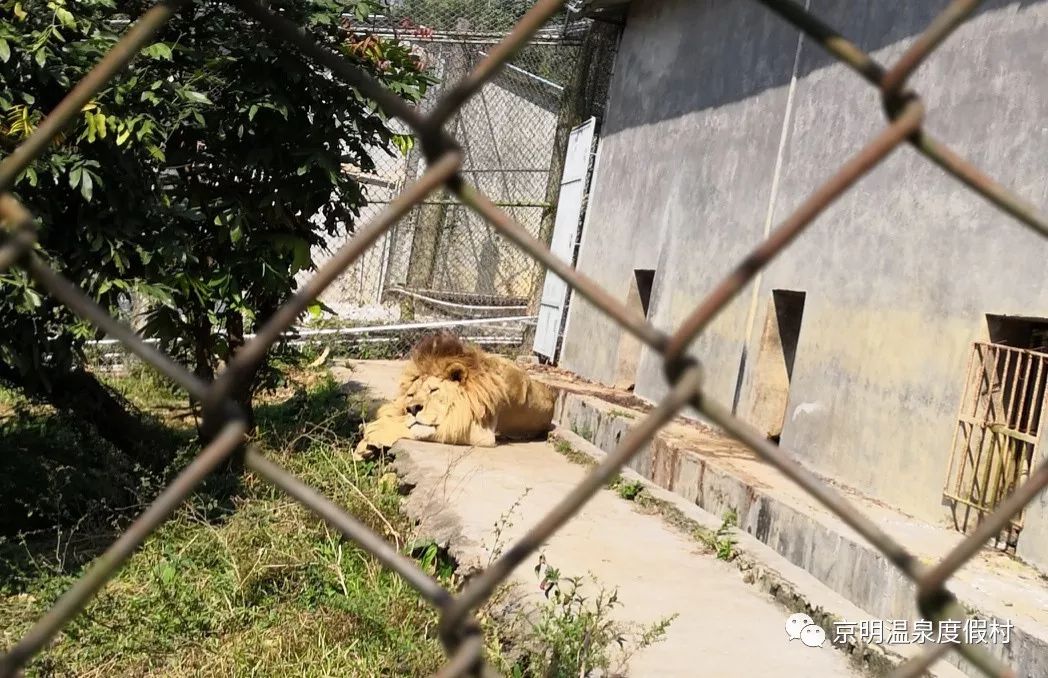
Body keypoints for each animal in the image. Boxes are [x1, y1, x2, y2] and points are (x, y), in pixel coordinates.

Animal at [354, 333, 557, 461]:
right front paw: (364, 445)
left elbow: (417, 429)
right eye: (411, 394)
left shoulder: (481, 433)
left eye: (434, 390)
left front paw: (374, 432)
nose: (412, 408)